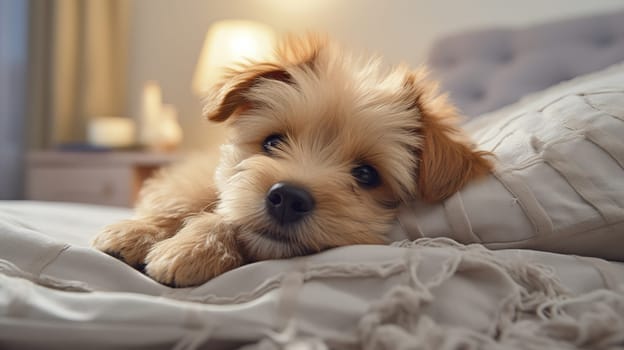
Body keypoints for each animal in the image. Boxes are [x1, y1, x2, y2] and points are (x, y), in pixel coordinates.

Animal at [91, 36, 492, 288]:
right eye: (272, 142)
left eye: (366, 174)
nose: (288, 197)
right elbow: (219, 209)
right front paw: (183, 241)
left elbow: (224, 216)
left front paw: (192, 249)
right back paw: (135, 231)